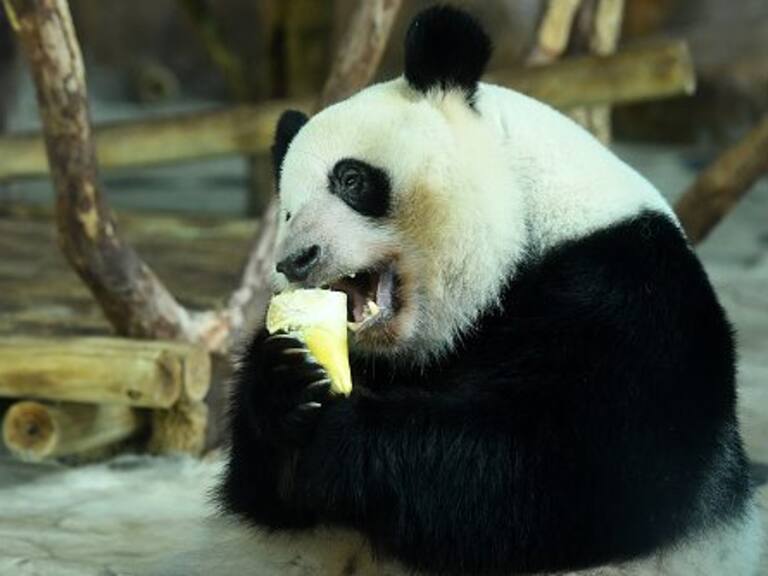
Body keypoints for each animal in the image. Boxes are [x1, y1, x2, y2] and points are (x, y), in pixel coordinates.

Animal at [217, 6, 762, 576]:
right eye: (287, 212)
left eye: (350, 179)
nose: (295, 261)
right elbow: (268, 496)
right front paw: (283, 378)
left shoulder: (628, 293)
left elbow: (573, 470)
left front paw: (340, 433)